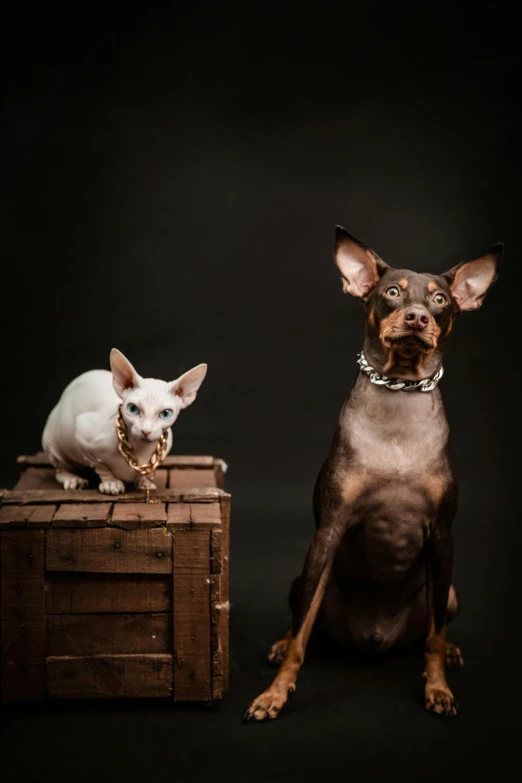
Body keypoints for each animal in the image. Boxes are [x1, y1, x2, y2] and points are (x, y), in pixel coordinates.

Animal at [42, 350, 206, 496]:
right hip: (52, 443)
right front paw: (111, 483)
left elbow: (142, 472)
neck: (140, 450)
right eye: (132, 409)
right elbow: (100, 465)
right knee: (60, 469)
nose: (146, 431)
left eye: (165, 413)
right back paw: (73, 479)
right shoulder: (82, 430)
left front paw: (143, 481)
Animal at [244, 227, 500, 724]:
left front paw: (438, 688)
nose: (418, 317)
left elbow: (435, 636)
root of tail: (376, 641)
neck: (399, 396)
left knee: (432, 629)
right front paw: (275, 694)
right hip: (303, 579)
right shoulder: (329, 530)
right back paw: (281, 643)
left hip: (450, 590)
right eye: (392, 292)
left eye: (440, 298)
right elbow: (301, 638)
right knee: (303, 623)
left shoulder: (443, 536)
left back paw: (451, 653)